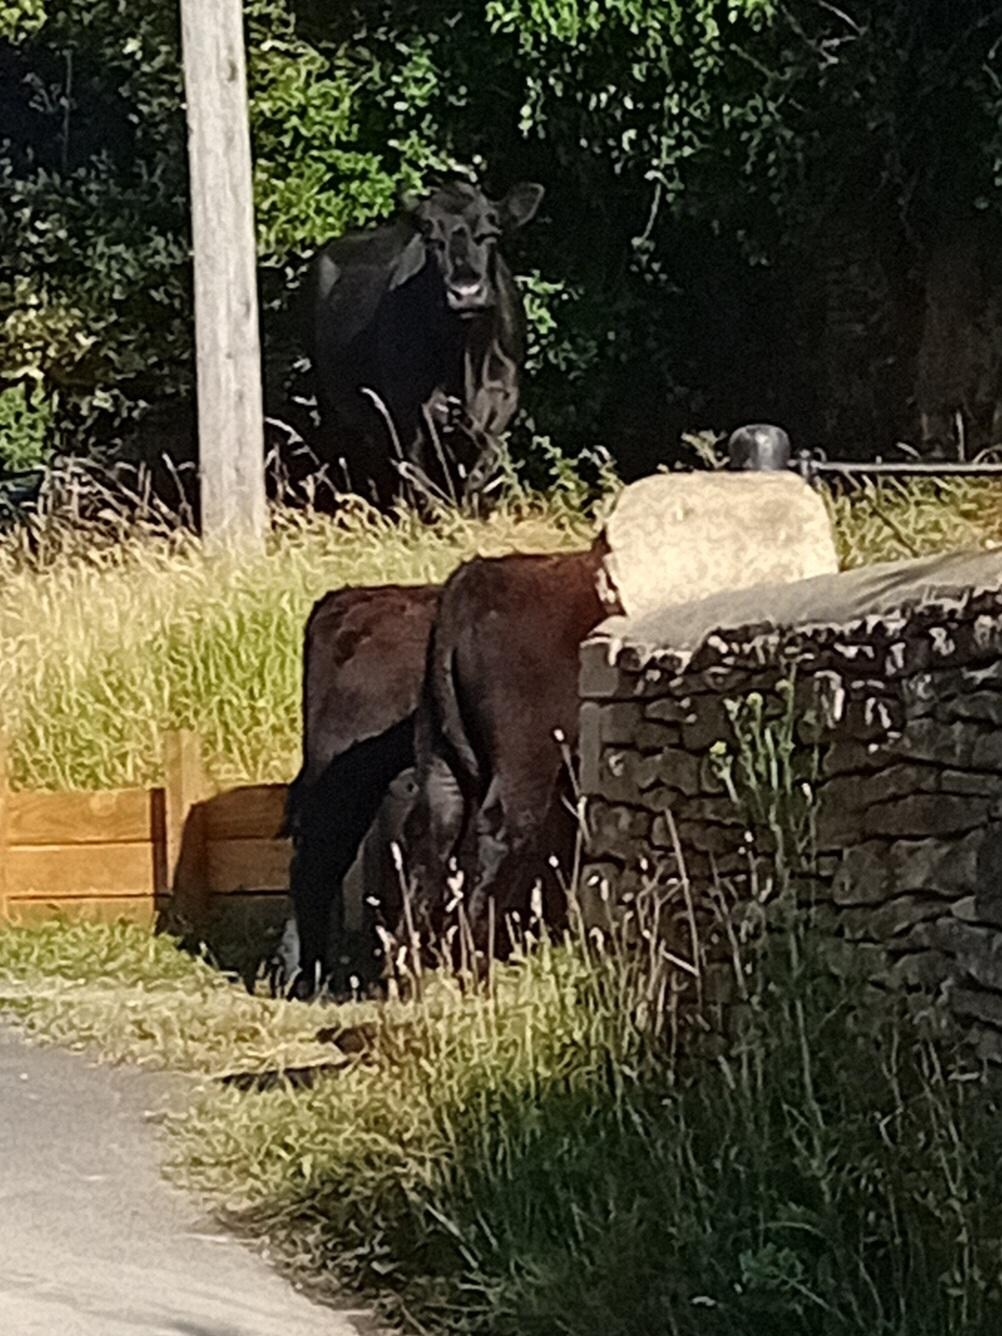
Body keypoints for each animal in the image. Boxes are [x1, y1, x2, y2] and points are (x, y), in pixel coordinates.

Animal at [304, 178, 544, 510]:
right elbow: (425, 489)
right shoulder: (408, 414)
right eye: (432, 239)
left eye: (490, 233)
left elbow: (475, 481)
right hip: (333, 407)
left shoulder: (500, 405)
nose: (466, 291)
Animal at [407, 544, 619, 957]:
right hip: (527, 758)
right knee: (503, 832)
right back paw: (477, 958)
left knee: (434, 827)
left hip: (439, 751)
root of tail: (474, 581)